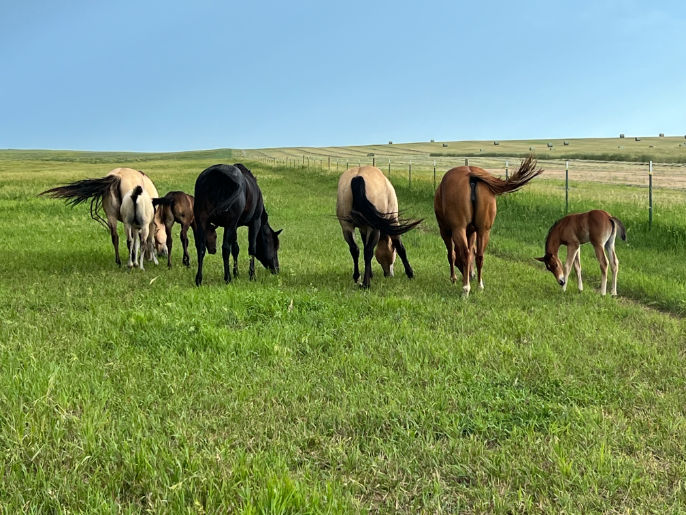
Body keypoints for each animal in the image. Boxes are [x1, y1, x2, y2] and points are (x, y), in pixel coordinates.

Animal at [434, 156, 543, 296]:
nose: (471, 275)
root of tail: (472, 175)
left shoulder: (446, 231)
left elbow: (451, 254)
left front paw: (453, 278)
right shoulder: (472, 232)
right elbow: (472, 251)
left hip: (459, 229)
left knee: (466, 254)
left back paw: (466, 288)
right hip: (484, 231)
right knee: (480, 255)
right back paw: (479, 286)